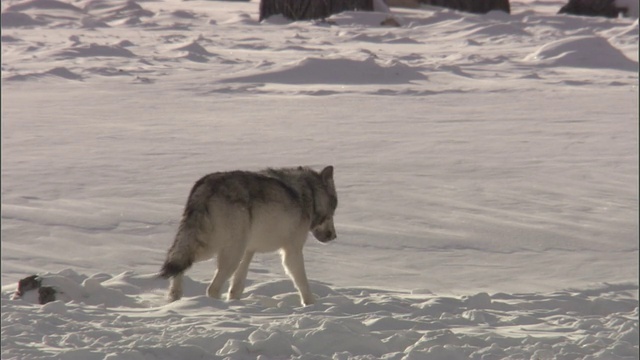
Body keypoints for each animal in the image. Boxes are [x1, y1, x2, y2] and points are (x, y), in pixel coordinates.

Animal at [160, 166, 338, 306]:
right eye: (332, 211)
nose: (334, 236)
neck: (310, 193)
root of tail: (205, 186)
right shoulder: (291, 252)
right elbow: (303, 283)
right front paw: (312, 305)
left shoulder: (249, 251)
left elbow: (237, 286)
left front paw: (236, 303)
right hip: (226, 252)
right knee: (211, 288)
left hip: (213, 248)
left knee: (178, 265)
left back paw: (175, 299)